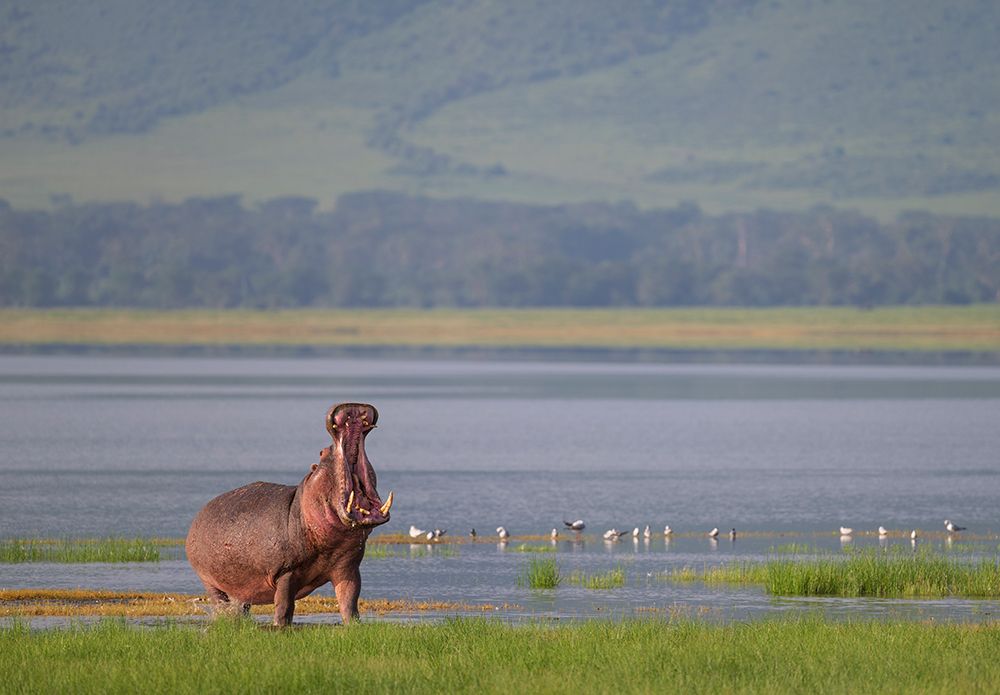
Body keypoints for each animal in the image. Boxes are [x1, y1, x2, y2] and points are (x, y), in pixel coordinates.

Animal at [186, 402, 393, 626]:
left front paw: (353, 625)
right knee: (221, 603)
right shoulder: (286, 571)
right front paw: (280, 626)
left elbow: (350, 601)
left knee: (241, 606)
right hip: (210, 582)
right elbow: (284, 604)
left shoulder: (348, 567)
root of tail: (197, 516)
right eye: (322, 452)